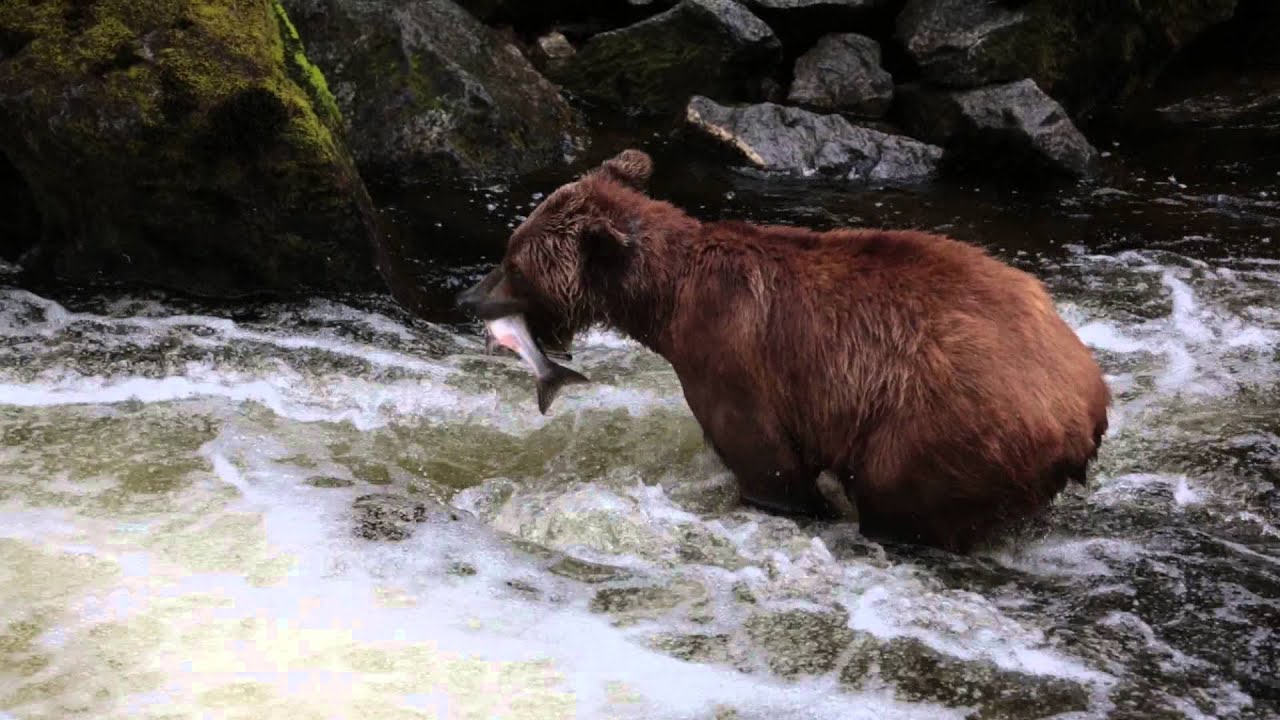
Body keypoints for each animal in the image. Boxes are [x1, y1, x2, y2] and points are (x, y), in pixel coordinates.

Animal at [457, 149, 1111, 553]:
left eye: (515, 261)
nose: (470, 297)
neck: (665, 304)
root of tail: (1087, 399)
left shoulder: (729, 358)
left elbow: (768, 463)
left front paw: (787, 504)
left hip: (939, 426)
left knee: (899, 497)